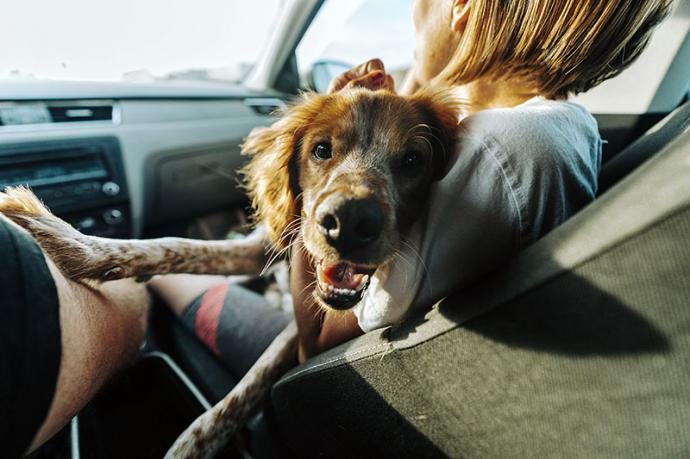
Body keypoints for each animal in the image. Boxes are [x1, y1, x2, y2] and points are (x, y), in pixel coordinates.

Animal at [0, 87, 456, 459]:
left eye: (413, 159)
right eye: (322, 149)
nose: (349, 220)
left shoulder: (299, 323)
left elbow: (248, 386)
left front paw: (189, 446)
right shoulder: (262, 247)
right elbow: (171, 246)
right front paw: (71, 243)